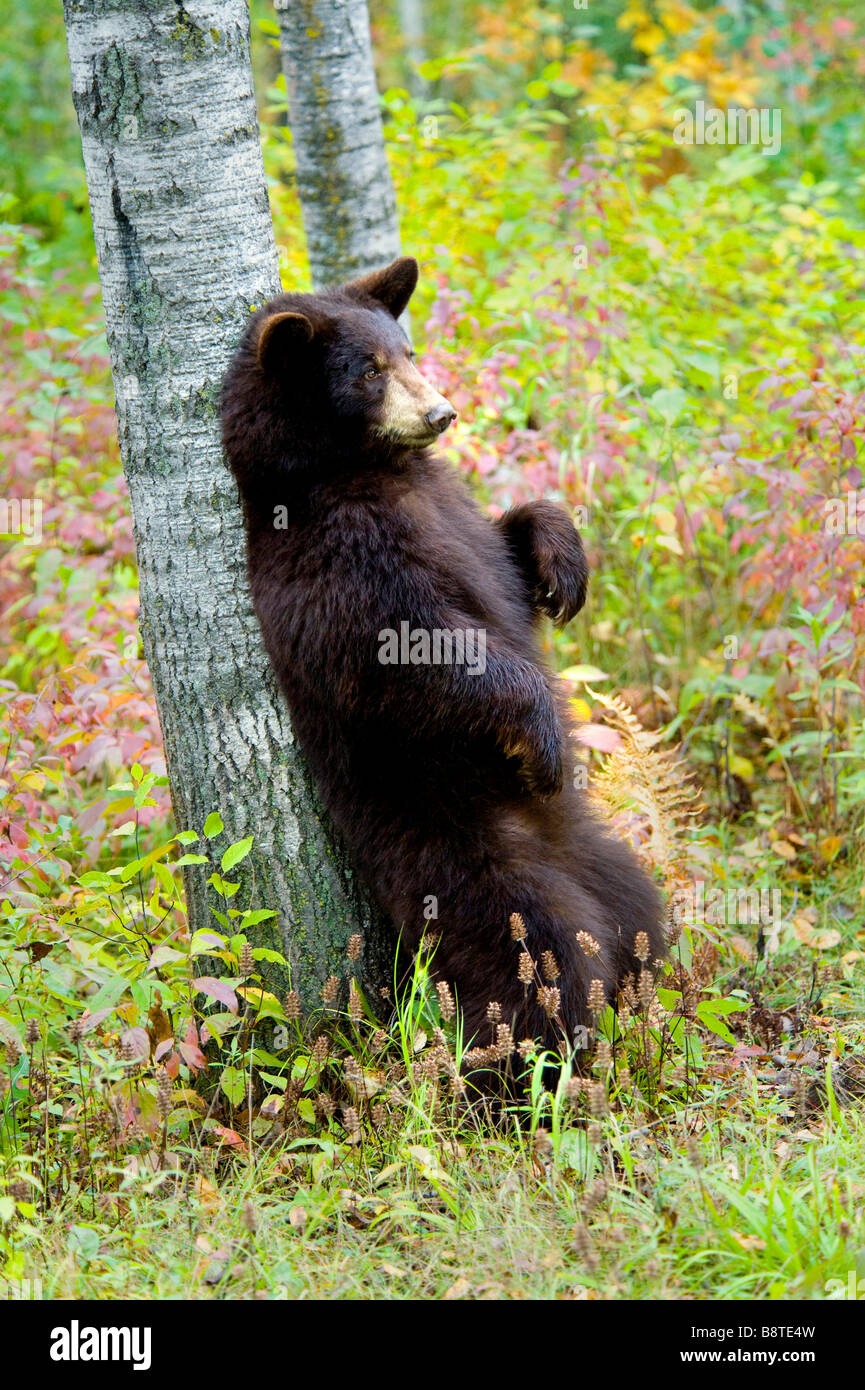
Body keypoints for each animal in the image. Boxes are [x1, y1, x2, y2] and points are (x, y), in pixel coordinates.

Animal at [222, 261, 664, 1061]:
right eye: (367, 370)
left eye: (407, 351)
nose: (441, 413)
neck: (365, 472)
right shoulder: (337, 557)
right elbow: (414, 649)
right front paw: (543, 738)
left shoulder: (455, 520)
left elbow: (507, 558)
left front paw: (563, 564)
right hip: (464, 858)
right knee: (534, 954)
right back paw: (529, 1058)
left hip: (606, 865)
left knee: (639, 912)